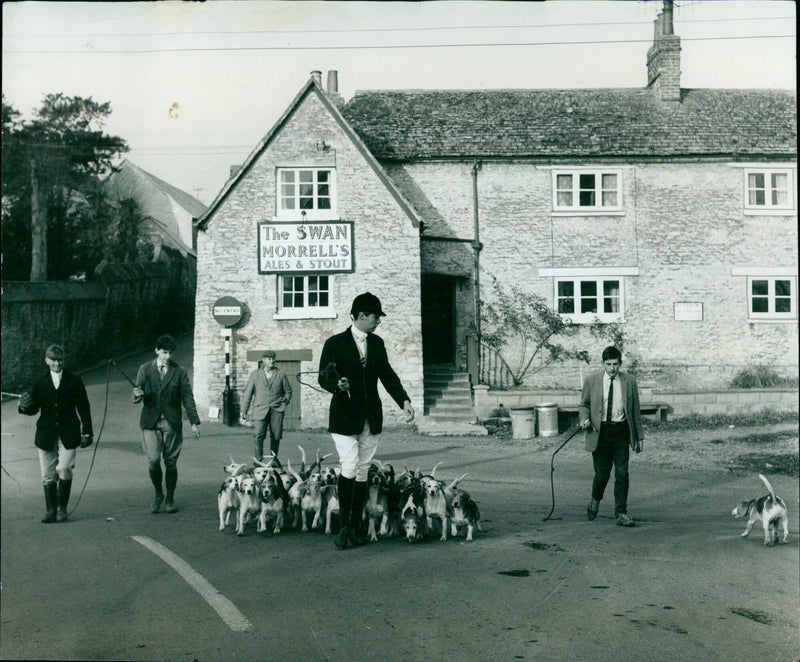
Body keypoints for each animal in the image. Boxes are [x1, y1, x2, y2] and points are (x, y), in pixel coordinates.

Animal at [17, 348, 93, 524]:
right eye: (53, 359)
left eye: (60, 359)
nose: (58, 364)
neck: (56, 374)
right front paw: (24, 404)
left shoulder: (80, 391)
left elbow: (84, 407)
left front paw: (61, 513)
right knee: (49, 479)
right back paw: (51, 513)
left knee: (62, 475)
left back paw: (60, 512)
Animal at [132, 334, 199, 516]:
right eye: (164, 351)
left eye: (170, 351)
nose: (168, 358)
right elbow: (154, 464)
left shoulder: (184, 383)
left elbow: (188, 397)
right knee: (156, 464)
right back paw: (159, 500)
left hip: (173, 433)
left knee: (170, 465)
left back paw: (169, 502)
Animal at [318, 294, 416, 548]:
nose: (378, 322)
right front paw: (344, 534)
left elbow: (389, 375)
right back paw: (348, 530)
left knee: (361, 474)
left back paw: (356, 530)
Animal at [580, 348, 640, 528]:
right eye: (608, 363)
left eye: (615, 363)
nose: (612, 370)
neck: (612, 379)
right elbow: (584, 404)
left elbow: (621, 475)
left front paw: (622, 515)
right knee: (601, 476)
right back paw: (592, 509)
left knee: (616, 474)